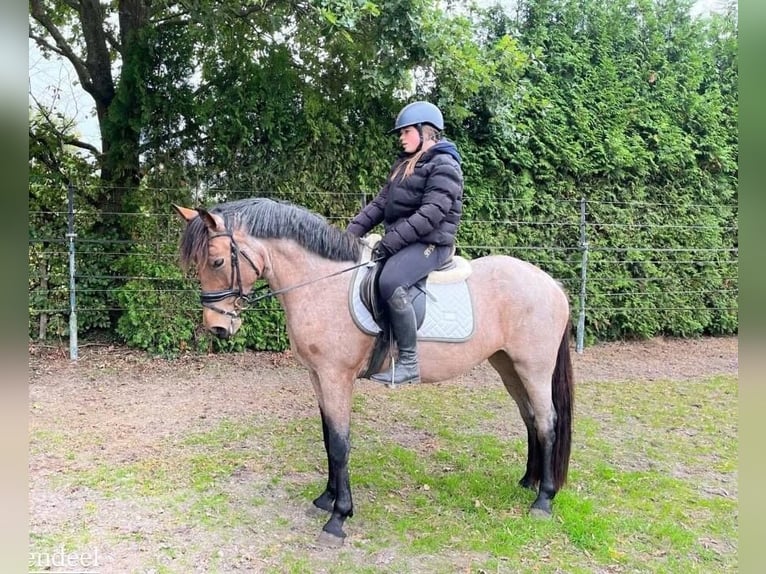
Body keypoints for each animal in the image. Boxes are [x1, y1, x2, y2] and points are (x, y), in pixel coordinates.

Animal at [173, 197, 574, 547]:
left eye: (216, 261)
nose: (217, 328)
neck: (322, 283)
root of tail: (551, 284)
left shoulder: (336, 376)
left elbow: (340, 443)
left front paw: (338, 518)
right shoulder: (317, 376)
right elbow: (328, 439)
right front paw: (326, 498)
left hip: (533, 368)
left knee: (547, 421)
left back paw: (543, 500)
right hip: (508, 365)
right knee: (530, 418)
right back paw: (528, 482)